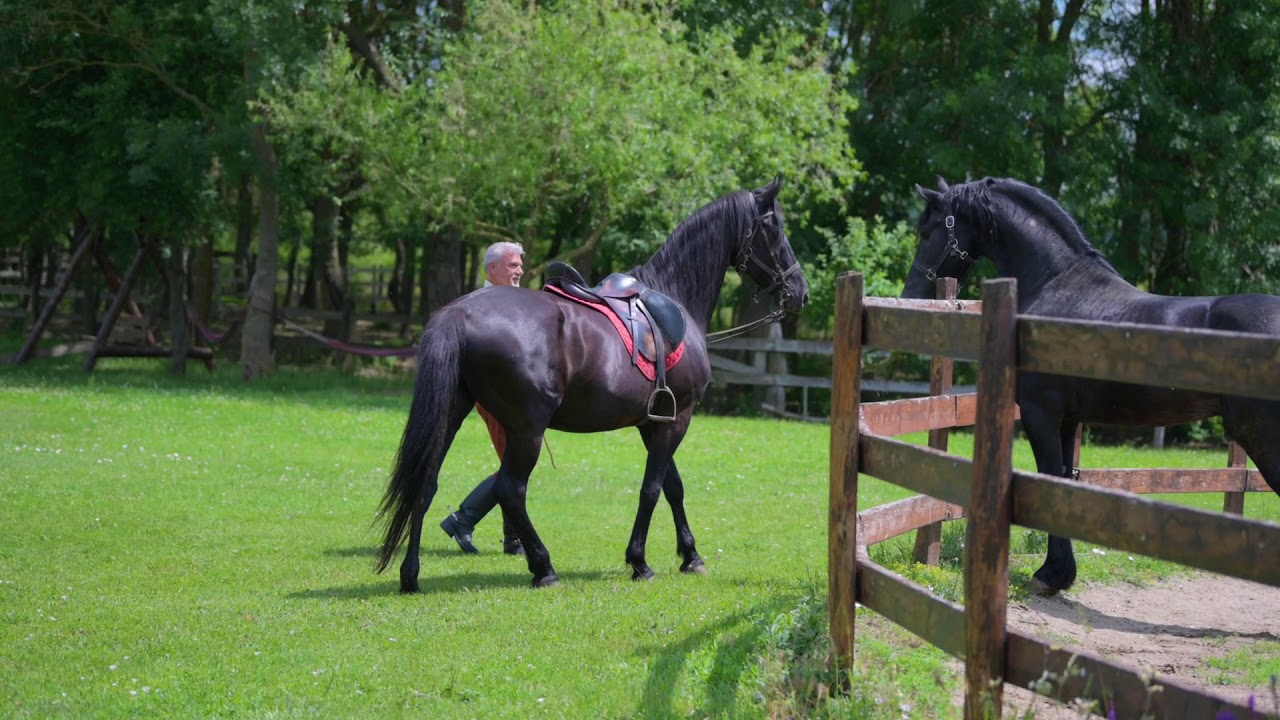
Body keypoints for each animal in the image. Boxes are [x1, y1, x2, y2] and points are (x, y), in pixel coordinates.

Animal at [376, 179, 809, 591]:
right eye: (774, 228)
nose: (800, 291)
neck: (675, 298)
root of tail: (458, 314)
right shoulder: (677, 418)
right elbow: (652, 488)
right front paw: (640, 561)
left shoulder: (654, 422)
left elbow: (673, 486)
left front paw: (690, 556)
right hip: (527, 429)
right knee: (510, 489)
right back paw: (543, 567)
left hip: (452, 415)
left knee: (425, 484)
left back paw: (410, 575)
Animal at [904, 176, 1280, 597]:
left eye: (927, 230)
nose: (910, 294)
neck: (1055, 283)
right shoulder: (1068, 420)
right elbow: (1065, 480)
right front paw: (1060, 573)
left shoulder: (1040, 413)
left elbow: (1050, 477)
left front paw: (1050, 575)